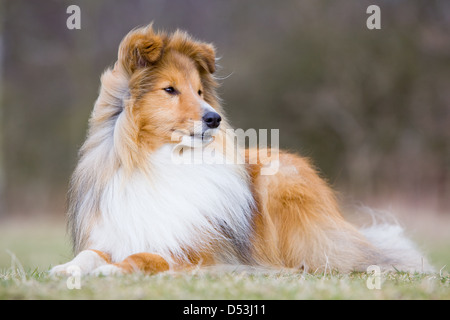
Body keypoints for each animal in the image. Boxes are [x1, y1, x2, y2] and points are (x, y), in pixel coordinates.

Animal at [50, 24, 432, 276]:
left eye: (200, 91)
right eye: (170, 89)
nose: (214, 119)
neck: (159, 162)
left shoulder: (197, 253)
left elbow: (145, 257)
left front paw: (112, 271)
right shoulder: (115, 234)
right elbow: (90, 254)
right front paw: (67, 268)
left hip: (280, 182)